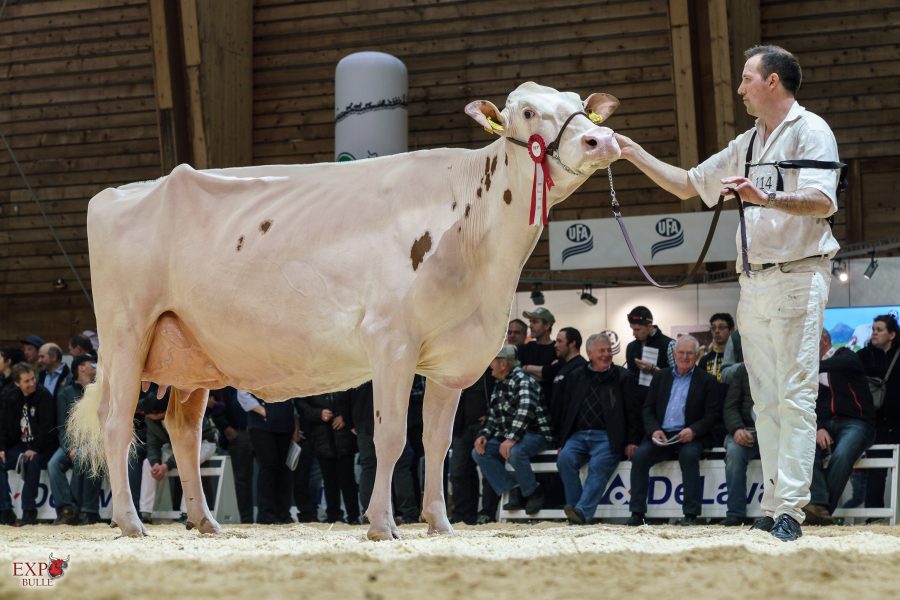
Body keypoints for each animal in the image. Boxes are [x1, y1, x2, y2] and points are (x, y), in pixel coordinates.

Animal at [69, 82, 621, 540]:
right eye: (527, 112)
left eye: (582, 105)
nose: (603, 140)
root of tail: (118, 192)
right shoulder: (391, 340)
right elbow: (392, 438)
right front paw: (381, 525)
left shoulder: (452, 357)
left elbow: (438, 443)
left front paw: (439, 523)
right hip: (126, 332)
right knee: (117, 422)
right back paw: (131, 522)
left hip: (190, 352)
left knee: (182, 431)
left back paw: (206, 522)